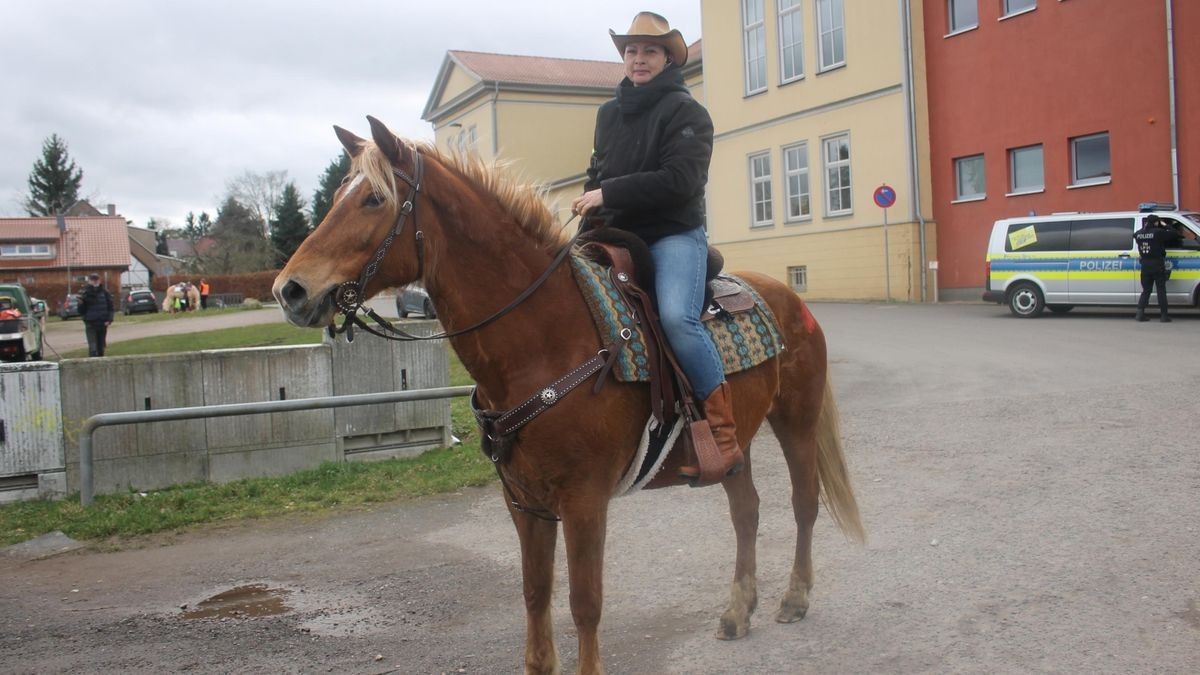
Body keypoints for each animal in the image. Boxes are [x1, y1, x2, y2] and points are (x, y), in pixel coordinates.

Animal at [274, 118, 864, 672]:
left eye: (374, 198)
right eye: (336, 196)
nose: (290, 290)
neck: (545, 341)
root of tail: (789, 295)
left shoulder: (583, 500)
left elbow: (585, 603)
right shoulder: (523, 502)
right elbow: (537, 593)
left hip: (796, 421)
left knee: (804, 503)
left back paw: (795, 597)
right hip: (736, 445)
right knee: (747, 511)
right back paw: (739, 610)